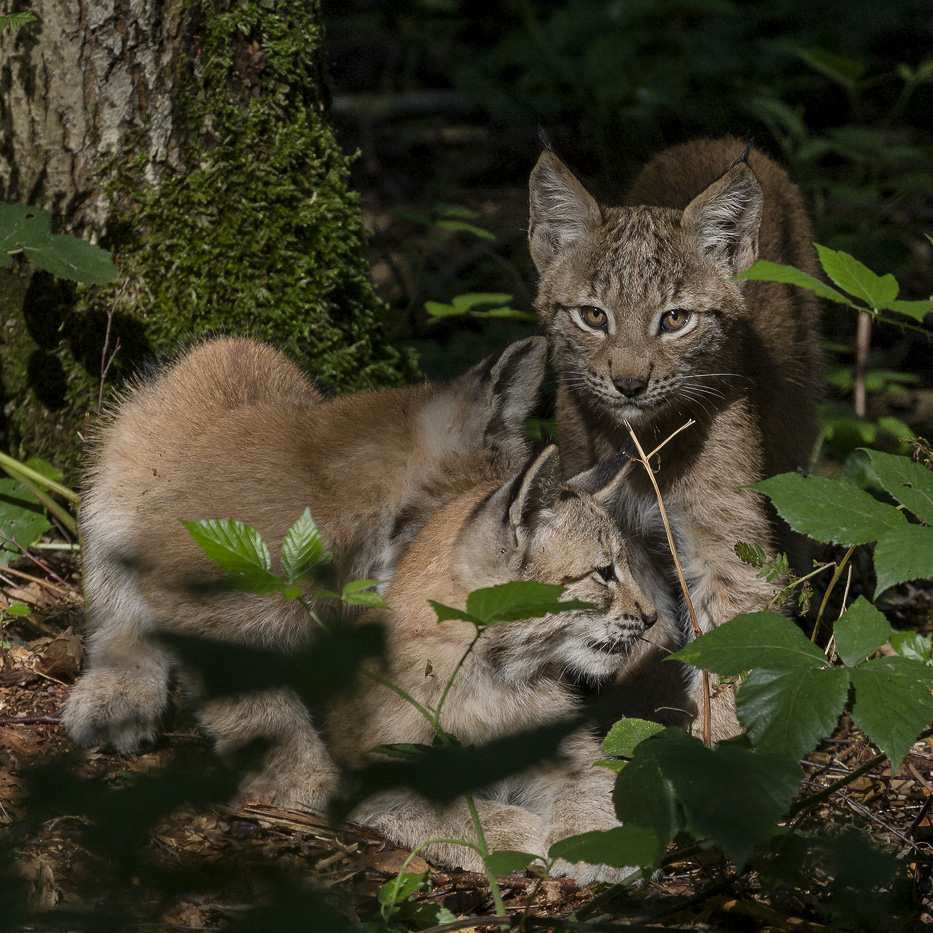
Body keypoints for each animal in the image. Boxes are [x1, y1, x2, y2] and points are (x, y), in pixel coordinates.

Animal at [528, 138, 820, 740]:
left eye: (676, 320)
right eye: (593, 316)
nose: (629, 384)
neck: (645, 442)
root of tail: (711, 139)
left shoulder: (725, 539)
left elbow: (734, 640)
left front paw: (718, 750)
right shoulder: (617, 530)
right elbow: (644, 632)